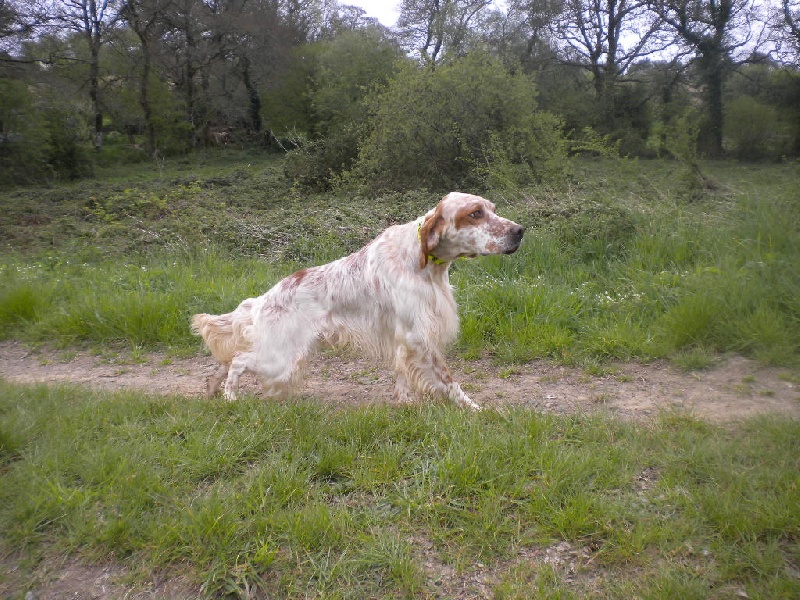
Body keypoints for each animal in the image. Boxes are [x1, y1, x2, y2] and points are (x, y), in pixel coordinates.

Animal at [191, 192, 524, 410]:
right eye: (475, 213)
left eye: (493, 209)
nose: (520, 231)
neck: (425, 263)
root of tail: (263, 298)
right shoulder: (418, 335)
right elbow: (449, 381)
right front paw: (475, 410)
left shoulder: (404, 338)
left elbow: (402, 376)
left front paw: (404, 404)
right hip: (280, 359)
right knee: (238, 360)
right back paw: (231, 397)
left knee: (225, 360)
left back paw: (212, 391)